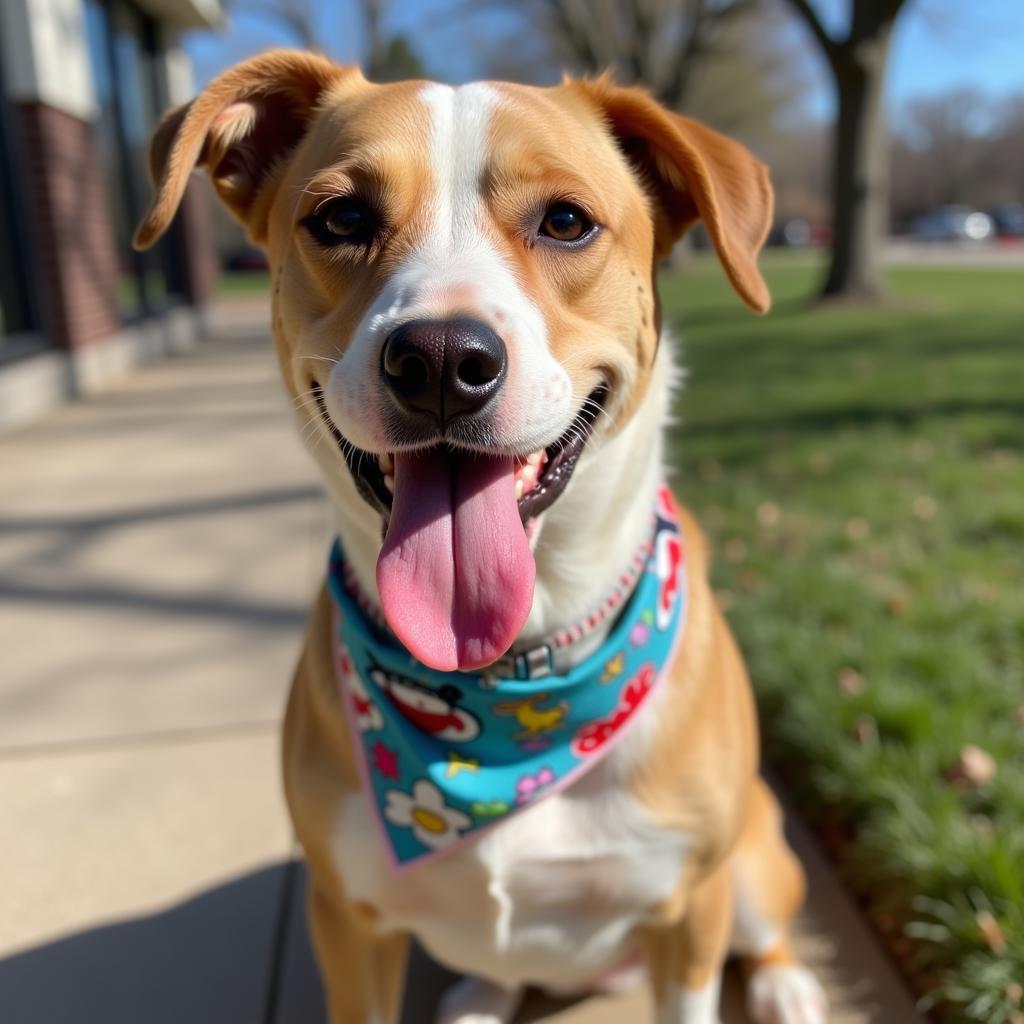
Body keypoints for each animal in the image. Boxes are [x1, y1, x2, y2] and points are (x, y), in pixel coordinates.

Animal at [136, 51, 827, 1024]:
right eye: (341, 218)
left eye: (567, 221)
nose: (438, 361)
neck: (510, 674)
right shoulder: (347, 921)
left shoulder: (689, 907)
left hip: (755, 860)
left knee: (767, 925)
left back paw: (786, 982)